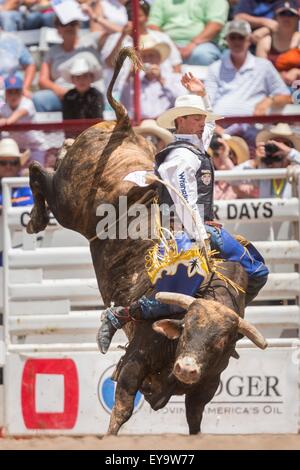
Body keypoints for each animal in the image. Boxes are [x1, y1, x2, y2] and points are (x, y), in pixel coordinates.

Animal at [25, 46, 268, 434]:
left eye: (219, 339)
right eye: (188, 328)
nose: (187, 367)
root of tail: (124, 125)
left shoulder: (206, 387)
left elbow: (195, 423)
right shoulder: (134, 364)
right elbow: (121, 409)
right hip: (68, 203)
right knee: (37, 172)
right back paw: (35, 217)